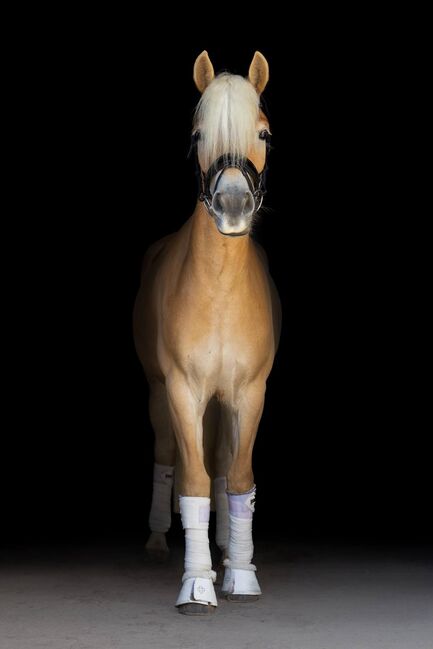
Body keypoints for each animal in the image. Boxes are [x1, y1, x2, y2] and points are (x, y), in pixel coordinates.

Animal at [133, 49, 280, 612]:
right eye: (198, 136)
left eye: (263, 134)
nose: (233, 206)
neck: (219, 288)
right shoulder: (182, 389)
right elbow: (192, 477)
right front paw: (196, 583)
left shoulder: (249, 392)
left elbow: (236, 475)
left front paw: (239, 571)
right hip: (160, 394)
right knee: (168, 457)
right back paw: (159, 540)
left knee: (220, 461)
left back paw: (222, 545)